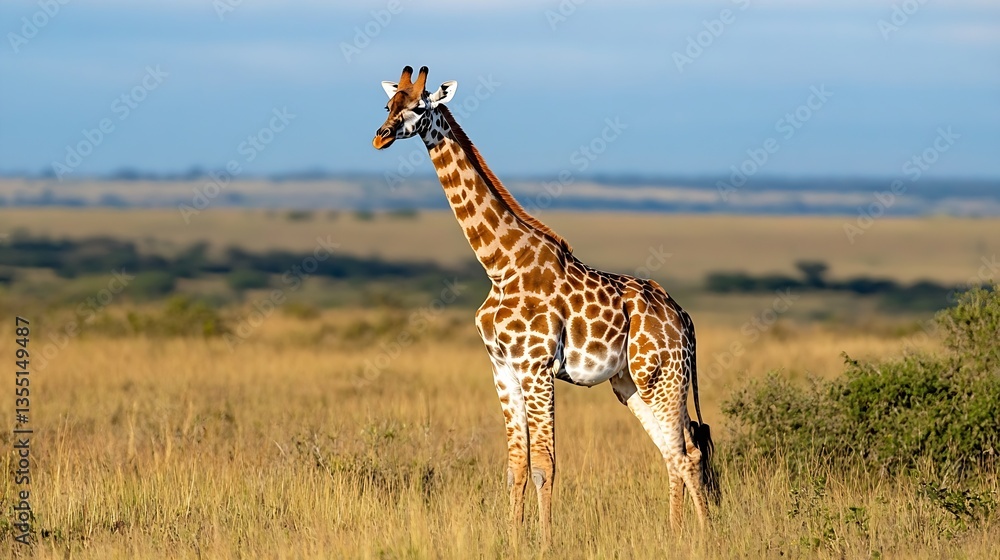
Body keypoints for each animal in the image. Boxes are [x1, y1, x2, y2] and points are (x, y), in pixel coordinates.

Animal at [372, 66, 719, 544]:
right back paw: (674, 533)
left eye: (420, 107)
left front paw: (546, 539)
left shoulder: (535, 368)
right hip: (630, 384)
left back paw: (701, 536)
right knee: (674, 451)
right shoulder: (502, 369)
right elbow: (516, 466)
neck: (499, 265)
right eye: (389, 103)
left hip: (664, 376)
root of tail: (685, 319)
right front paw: (513, 537)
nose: (381, 136)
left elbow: (544, 465)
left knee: (688, 453)